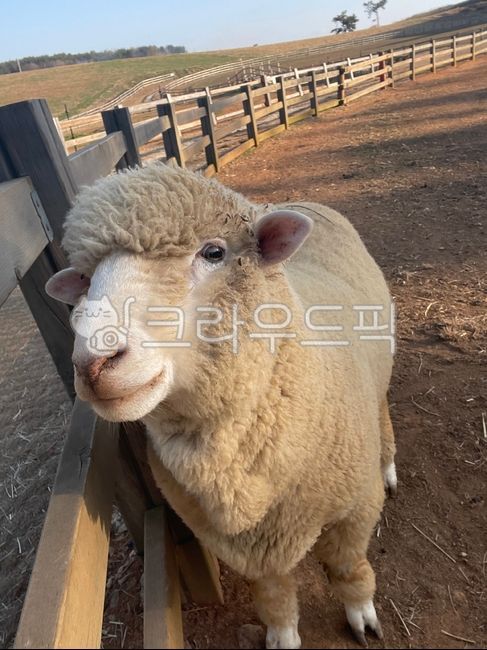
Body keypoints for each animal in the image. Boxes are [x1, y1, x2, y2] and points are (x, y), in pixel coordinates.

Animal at [46, 162, 397, 649]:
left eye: (213, 252)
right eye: (84, 279)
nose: (92, 364)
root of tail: (302, 203)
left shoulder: (355, 509)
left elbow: (347, 567)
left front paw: (361, 612)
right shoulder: (237, 544)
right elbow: (272, 594)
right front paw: (282, 633)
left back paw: (389, 465)